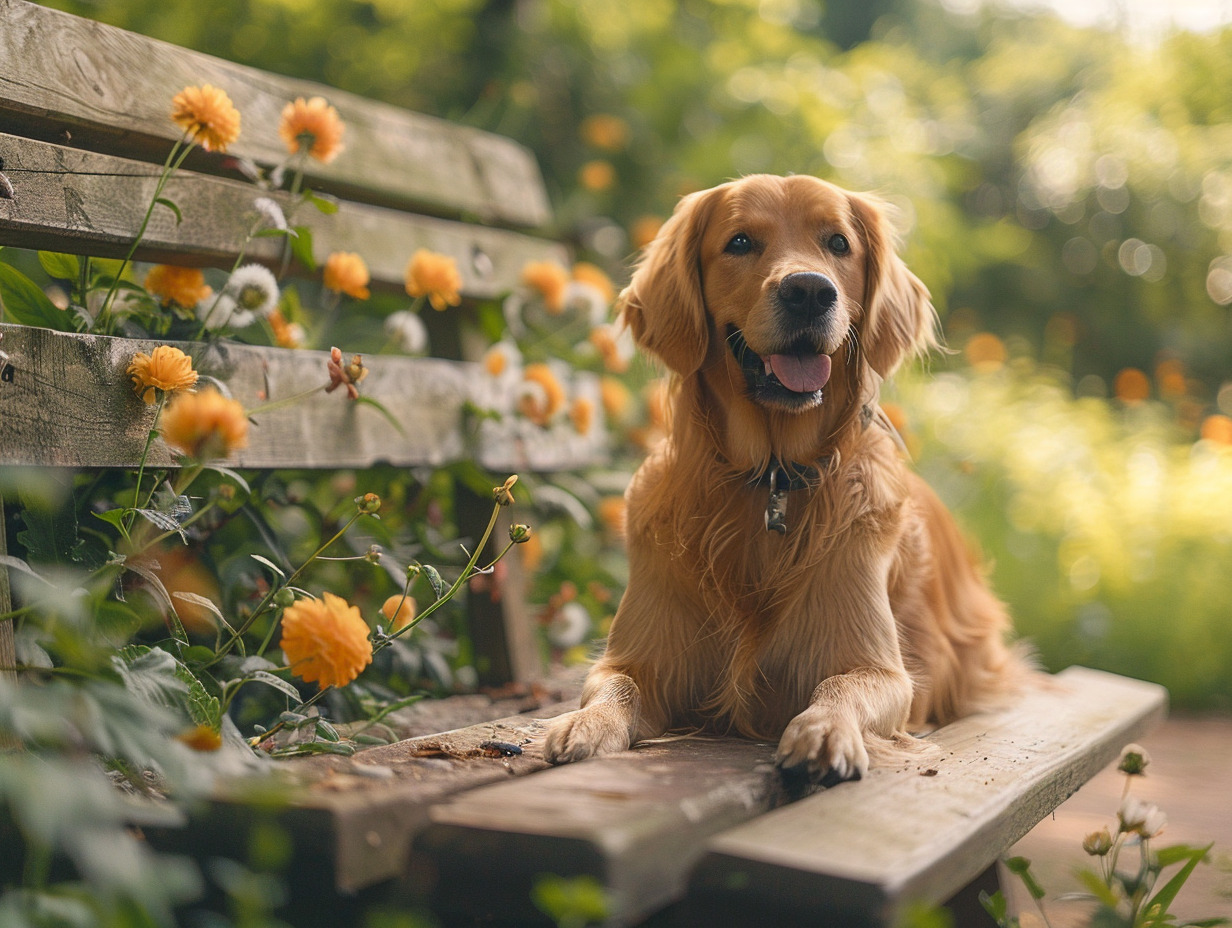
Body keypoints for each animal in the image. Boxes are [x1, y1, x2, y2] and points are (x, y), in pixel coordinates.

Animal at [544, 173, 1025, 783]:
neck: (770, 479)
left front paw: (824, 731)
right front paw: (583, 725)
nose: (809, 292)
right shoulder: (639, 658)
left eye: (838, 243)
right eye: (740, 242)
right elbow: (614, 687)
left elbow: (842, 684)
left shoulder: (880, 669)